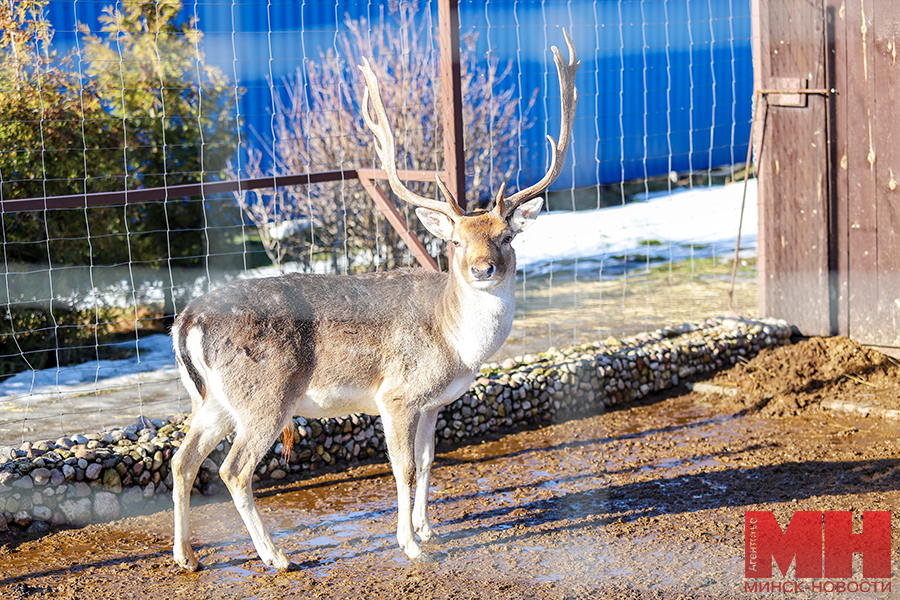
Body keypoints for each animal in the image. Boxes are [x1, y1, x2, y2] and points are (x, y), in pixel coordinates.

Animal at [171, 29, 576, 572]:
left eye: (506, 237)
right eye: (455, 241)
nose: (482, 269)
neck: (455, 341)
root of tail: (186, 320)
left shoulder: (432, 403)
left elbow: (427, 461)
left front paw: (427, 529)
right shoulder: (397, 394)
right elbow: (402, 467)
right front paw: (409, 545)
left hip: (214, 398)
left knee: (183, 459)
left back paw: (186, 556)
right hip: (265, 394)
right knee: (233, 469)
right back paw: (276, 557)